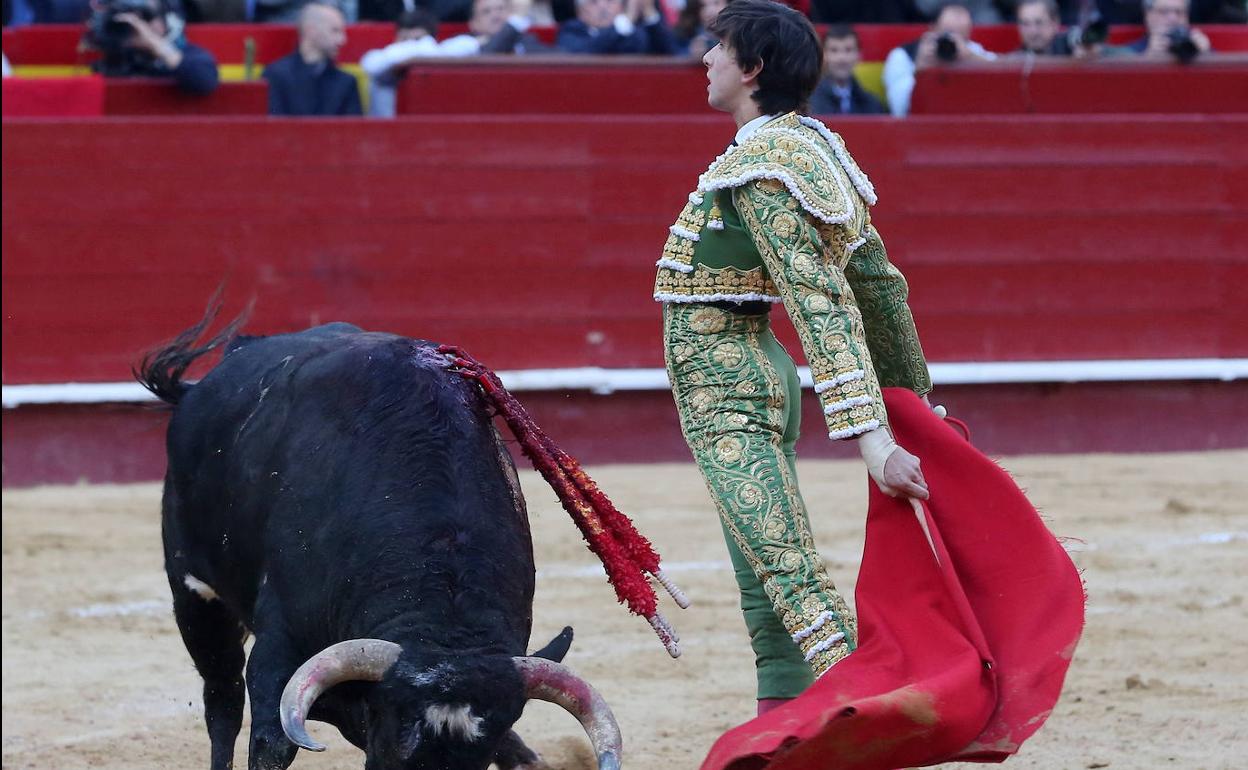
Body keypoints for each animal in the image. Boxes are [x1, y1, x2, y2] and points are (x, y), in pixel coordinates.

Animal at [139, 319, 621, 768]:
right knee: (222, 699)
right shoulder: (280, 644)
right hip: (194, 596)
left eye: (476, 761)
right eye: (395, 748)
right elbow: (272, 741)